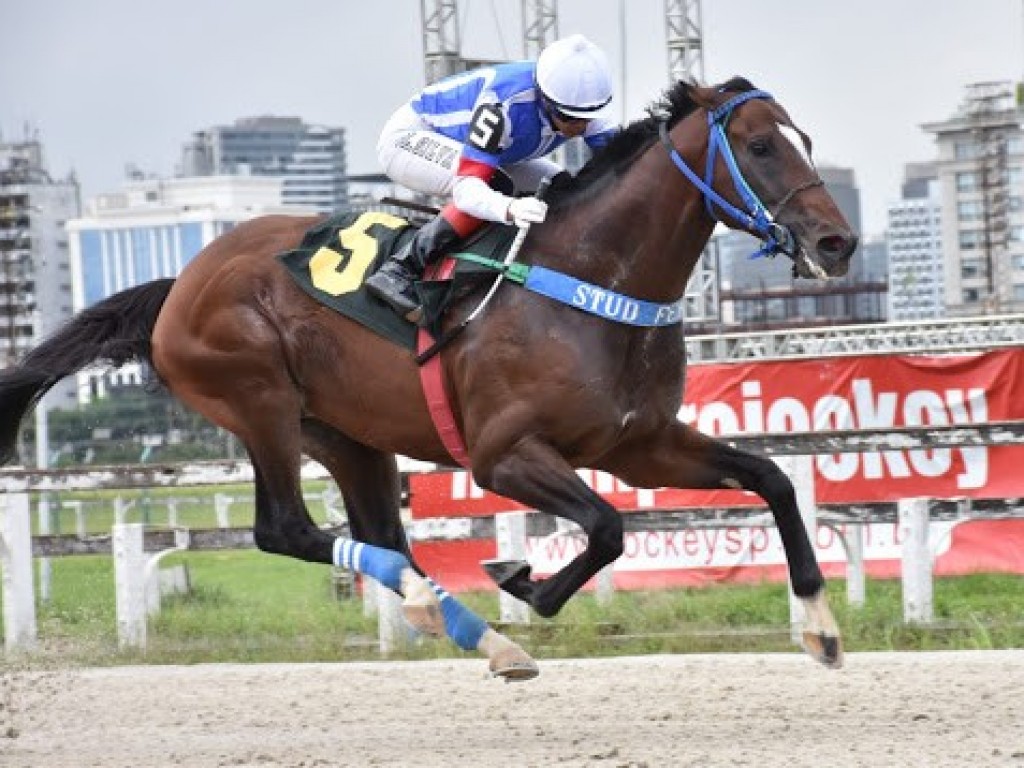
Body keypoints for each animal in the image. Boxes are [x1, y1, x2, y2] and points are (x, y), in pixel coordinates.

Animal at [0, 78, 856, 675]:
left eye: (805, 137)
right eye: (760, 147)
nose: (837, 242)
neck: (590, 276)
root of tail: (179, 283)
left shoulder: (636, 444)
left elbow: (772, 479)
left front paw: (820, 625)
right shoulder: (503, 455)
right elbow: (609, 528)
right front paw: (523, 579)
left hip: (346, 433)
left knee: (380, 534)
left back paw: (478, 636)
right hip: (258, 399)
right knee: (288, 531)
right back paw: (445, 612)